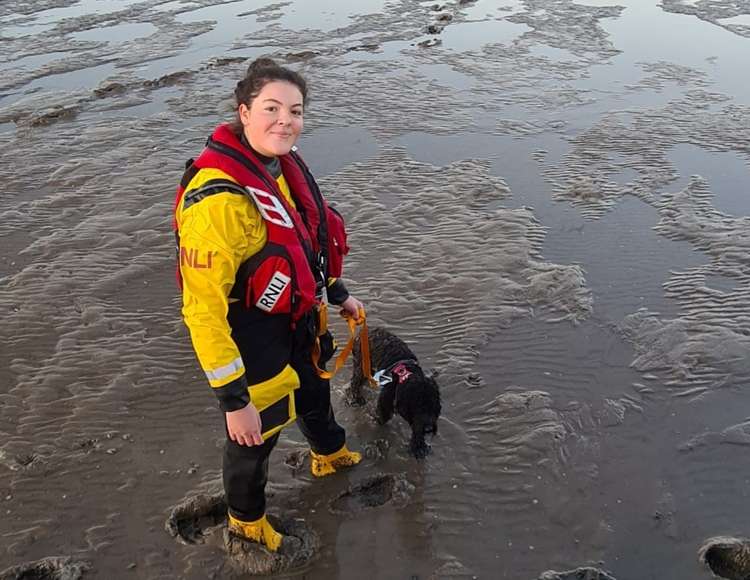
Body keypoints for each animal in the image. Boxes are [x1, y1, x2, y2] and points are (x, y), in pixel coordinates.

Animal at [350, 326, 444, 458]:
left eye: (434, 406)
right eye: (418, 406)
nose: (429, 429)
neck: (406, 376)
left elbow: (416, 428)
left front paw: (419, 446)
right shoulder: (385, 405)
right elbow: (382, 417)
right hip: (361, 365)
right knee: (355, 383)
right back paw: (356, 399)